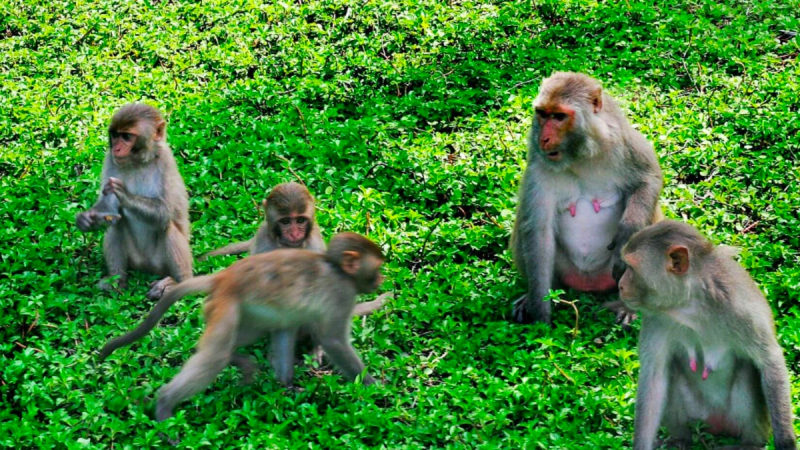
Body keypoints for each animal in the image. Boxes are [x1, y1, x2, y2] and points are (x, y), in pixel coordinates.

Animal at [75, 103, 192, 299]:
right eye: (115, 135)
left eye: (127, 136)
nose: (116, 148)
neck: (139, 162)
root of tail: (146, 267)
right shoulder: (110, 159)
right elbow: (109, 208)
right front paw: (87, 219)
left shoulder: (166, 161)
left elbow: (164, 212)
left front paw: (123, 194)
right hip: (134, 259)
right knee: (116, 223)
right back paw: (117, 281)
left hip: (160, 263)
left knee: (167, 225)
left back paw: (178, 284)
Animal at [99, 232, 385, 422]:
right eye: (378, 267)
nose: (381, 279)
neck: (338, 270)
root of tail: (224, 277)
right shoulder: (341, 295)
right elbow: (334, 341)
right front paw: (376, 388)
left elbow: (289, 328)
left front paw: (287, 384)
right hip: (226, 304)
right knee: (214, 356)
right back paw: (165, 402)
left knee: (269, 328)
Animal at [509, 72, 663, 325]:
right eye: (542, 113)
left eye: (559, 116)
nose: (544, 139)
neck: (579, 156)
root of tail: (589, 285)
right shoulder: (538, 166)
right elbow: (539, 232)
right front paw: (541, 318)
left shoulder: (623, 141)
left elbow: (647, 179)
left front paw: (626, 232)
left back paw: (628, 306)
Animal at [617, 220, 797, 450]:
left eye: (631, 268)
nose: (621, 285)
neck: (690, 304)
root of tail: (716, 423)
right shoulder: (655, 318)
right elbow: (654, 378)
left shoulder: (742, 311)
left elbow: (770, 361)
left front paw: (786, 442)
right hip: (697, 413)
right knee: (670, 371)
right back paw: (681, 440)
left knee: (748, 369)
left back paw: (751, 443)